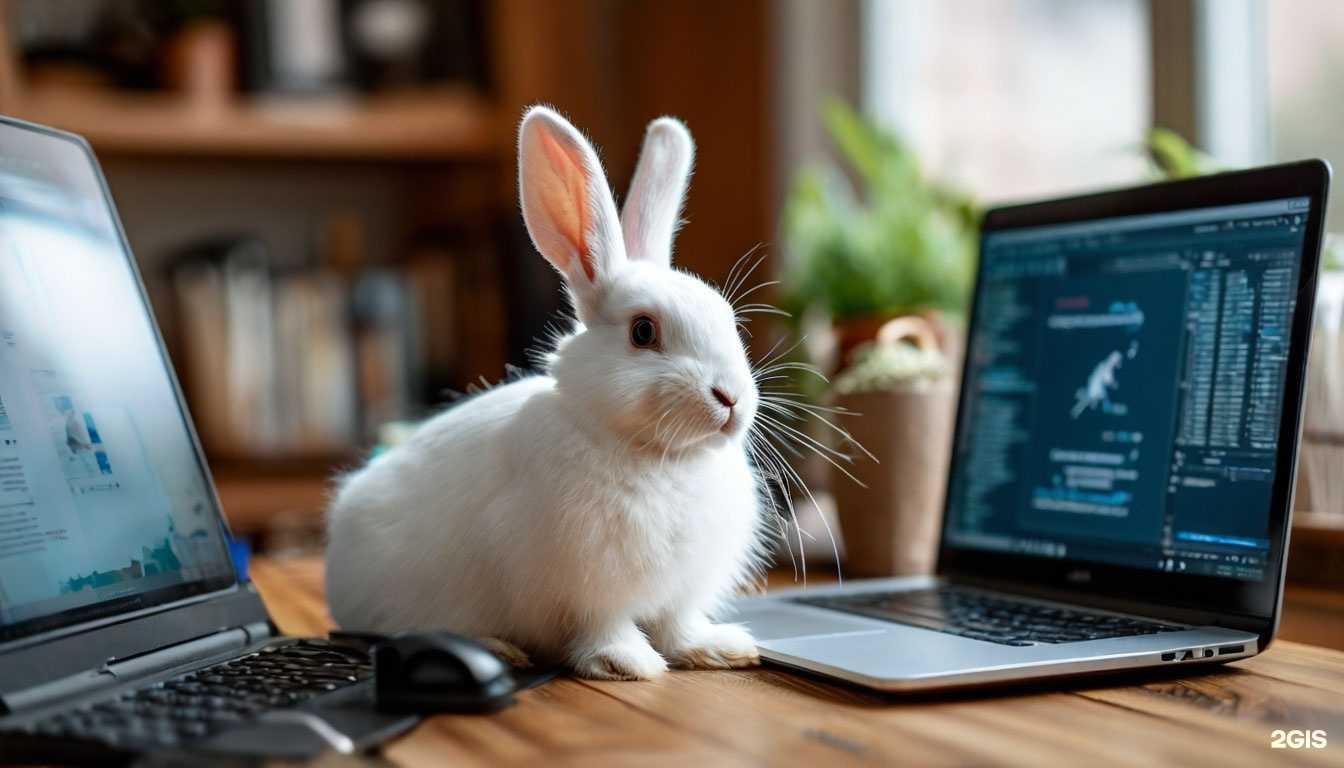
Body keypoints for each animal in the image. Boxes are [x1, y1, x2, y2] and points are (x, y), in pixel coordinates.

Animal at [324, 105, 770, 680]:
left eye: (728, 319)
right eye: (643, 331)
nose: (731, 398)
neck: (658, 456)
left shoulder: (680, 592)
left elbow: (678, 625)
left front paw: (719, 649)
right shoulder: (587, 587)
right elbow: (605, 627)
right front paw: (627, 663)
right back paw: (498, 649)